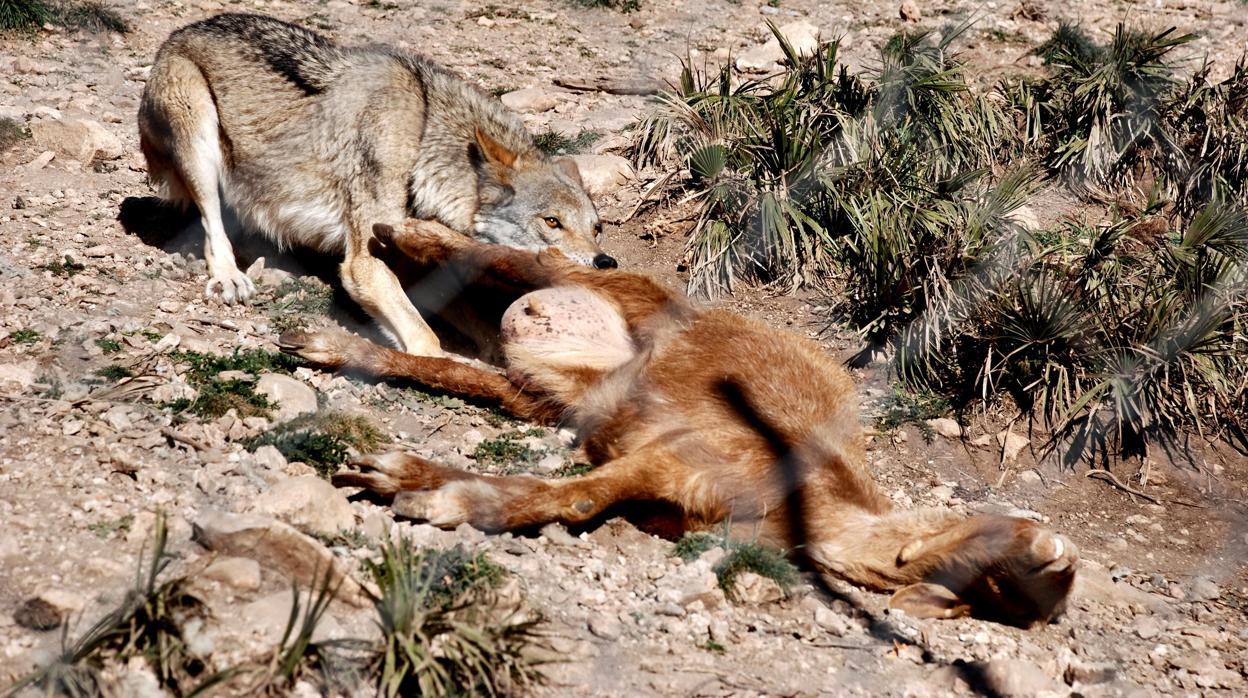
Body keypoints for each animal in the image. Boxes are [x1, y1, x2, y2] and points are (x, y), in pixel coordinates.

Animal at [137, 14, 614, 354]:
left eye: (597, 228)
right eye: (552, 222)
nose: (605, 264)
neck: (422, 137)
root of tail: (181, 31)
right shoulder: (363, 263)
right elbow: (427, 340)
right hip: (199, 134)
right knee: (212, 223)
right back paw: (230, 275)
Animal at [280, 219, 1073, 629]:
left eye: (1007, 592)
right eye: (1022, 556)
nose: (1056, 552)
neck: (810, 509)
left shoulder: (672, 485)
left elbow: (578, 495)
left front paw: (410, 481)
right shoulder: (688, 452)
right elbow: (573, 496)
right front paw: (435, 495)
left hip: (543, 390)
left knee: (455, 362)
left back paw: (331, 345)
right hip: (603, 290)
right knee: (513, 255)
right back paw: (394, 233)